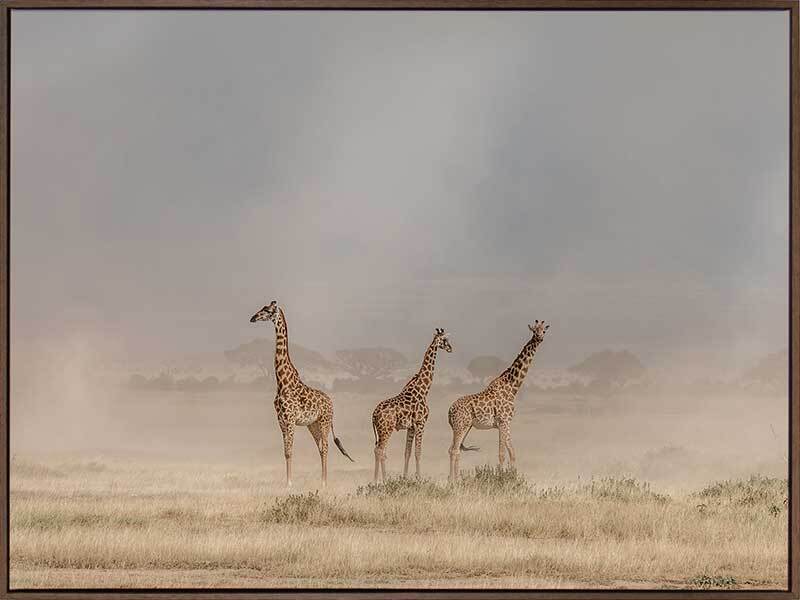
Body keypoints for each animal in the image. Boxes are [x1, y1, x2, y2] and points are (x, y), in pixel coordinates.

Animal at [250, 301, 354, 488]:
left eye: (267, 310)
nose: (253, 318)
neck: (282, 382)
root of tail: (331, 403)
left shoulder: (290, 420)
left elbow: (290, 451)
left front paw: (289, 484)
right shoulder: (281, 421)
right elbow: (286, 451)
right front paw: (287, 483)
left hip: (324, 422)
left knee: (326, 447)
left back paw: (324, 483)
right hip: (312, 425)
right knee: (320, 448)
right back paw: (321, 481)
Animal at [371, 328, 453, 482]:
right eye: (445, 340)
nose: (451, 348)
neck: (423, 389)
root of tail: (373, 415)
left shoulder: (411, 427)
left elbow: (407, 452)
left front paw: (405, 478)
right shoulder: (421, 423)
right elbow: (418, 452)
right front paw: (419, 478)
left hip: (380, 431)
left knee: (379, 450)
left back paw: (376, 480)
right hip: (387, 429)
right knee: (380, 450)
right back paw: (382, 480)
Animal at [447, 320, 550, 481]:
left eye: (543, 331)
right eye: (534, 330)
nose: (539, 338)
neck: (512, 387)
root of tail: (449, 410)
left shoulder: (506, 423)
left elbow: (512, 453)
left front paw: (513, 477)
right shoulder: (503, 421)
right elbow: (502, 454)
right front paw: (501, 478)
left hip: (464, 427)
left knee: (453, 449)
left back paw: (454, 479)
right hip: (460, 426)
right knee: (454, 450)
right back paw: (453, 481)